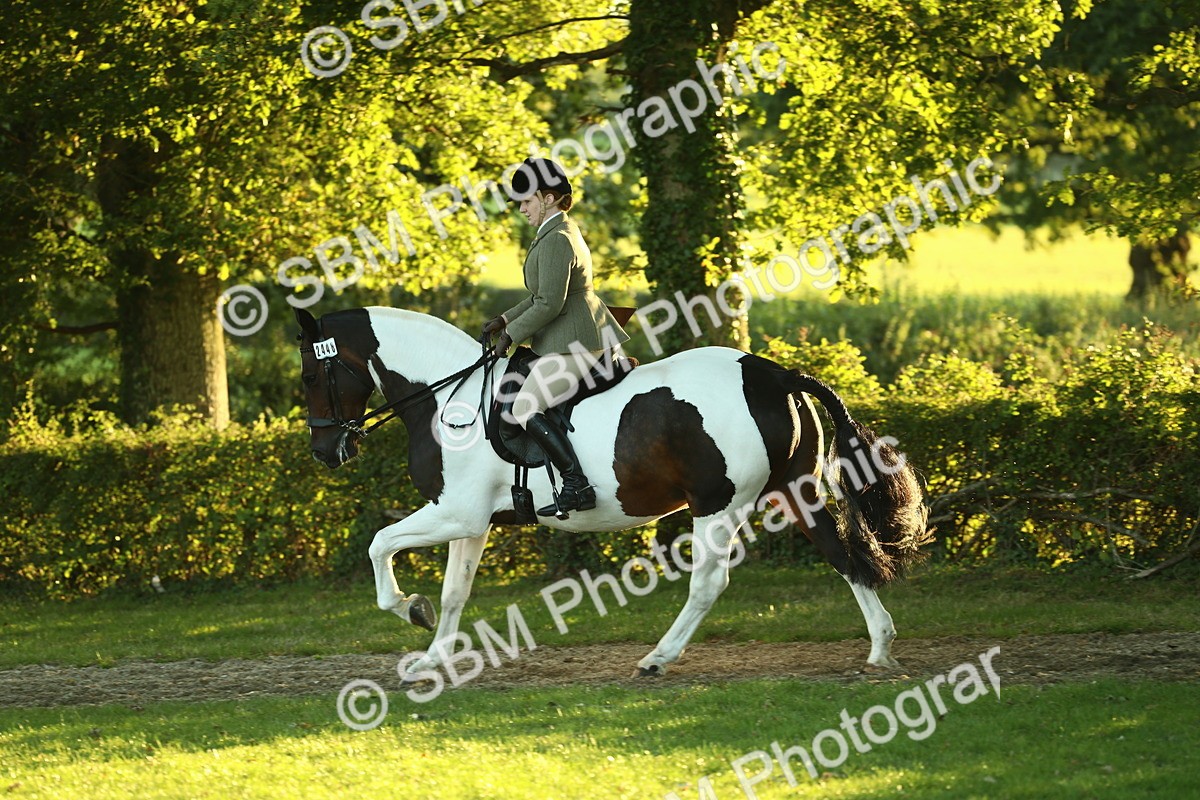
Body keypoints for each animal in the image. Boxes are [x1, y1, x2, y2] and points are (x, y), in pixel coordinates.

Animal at [294, 305, 932, 679]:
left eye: (310, 375)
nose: (326, 452)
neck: (448, 398)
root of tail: (772, 373)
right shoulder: (470, 521)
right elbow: (454, 593)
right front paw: (432, 656)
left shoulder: (454, 512)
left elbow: (380, 544)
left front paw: (409, 608)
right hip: (797, 492)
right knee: (842, 556)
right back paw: (880, 649)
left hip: (718, 504)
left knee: (710, 583)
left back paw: (657, 658)